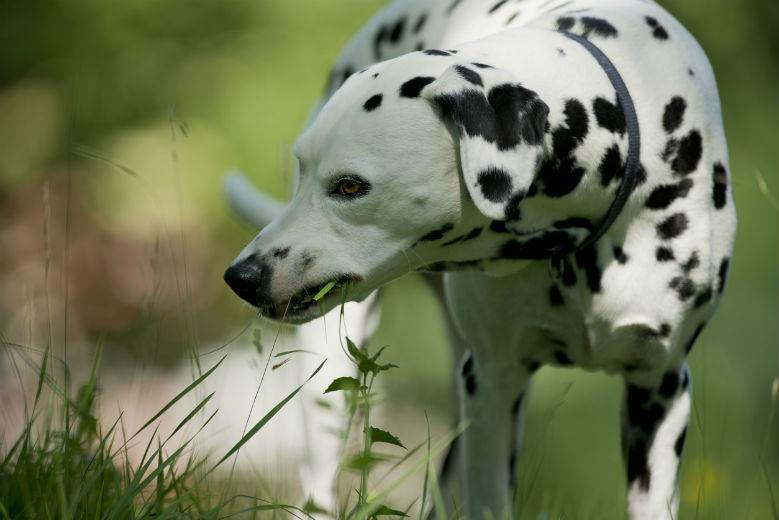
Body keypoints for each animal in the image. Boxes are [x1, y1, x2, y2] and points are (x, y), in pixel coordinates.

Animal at [224, 2, 736, 516]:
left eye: (350, 185)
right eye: (303, 168)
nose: (241, 277)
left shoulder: (660, 390)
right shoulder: (492, 383)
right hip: (335, 385)